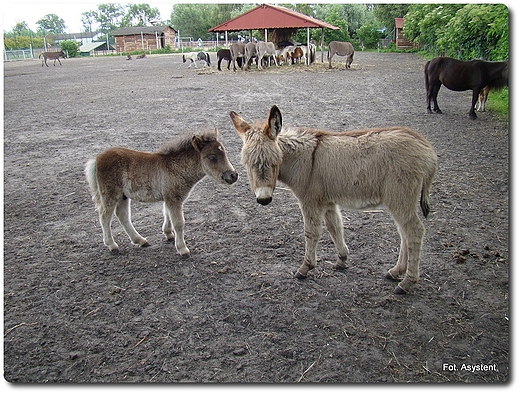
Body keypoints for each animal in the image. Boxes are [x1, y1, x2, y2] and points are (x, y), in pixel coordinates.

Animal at [84, 131, 239, 258]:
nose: (233, 175)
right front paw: (182, 249)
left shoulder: (169, 198)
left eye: (224, 152)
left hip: (123, 196)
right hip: (110, 194)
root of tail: (97, 159)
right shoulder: (173, 198)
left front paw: (168, 234)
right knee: (105, 216)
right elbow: (179, 223)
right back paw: (112, 245)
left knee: (122, 215)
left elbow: (167, 214)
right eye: (212, 157)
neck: (176, 168)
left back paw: (140, 241)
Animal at [230, 106, 436, 294]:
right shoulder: (327, 201)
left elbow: (311, 233)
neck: (304, 160)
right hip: (399, 200)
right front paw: (342, 260)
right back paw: (395, 272)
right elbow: (335, 227)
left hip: (400, 197)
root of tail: (427, 149)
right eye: (247, 164)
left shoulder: (310, 200)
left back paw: (407, 282)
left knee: (414, 232)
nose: (264, 199)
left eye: (274, 162)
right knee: (404, 232)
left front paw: (305, 268)